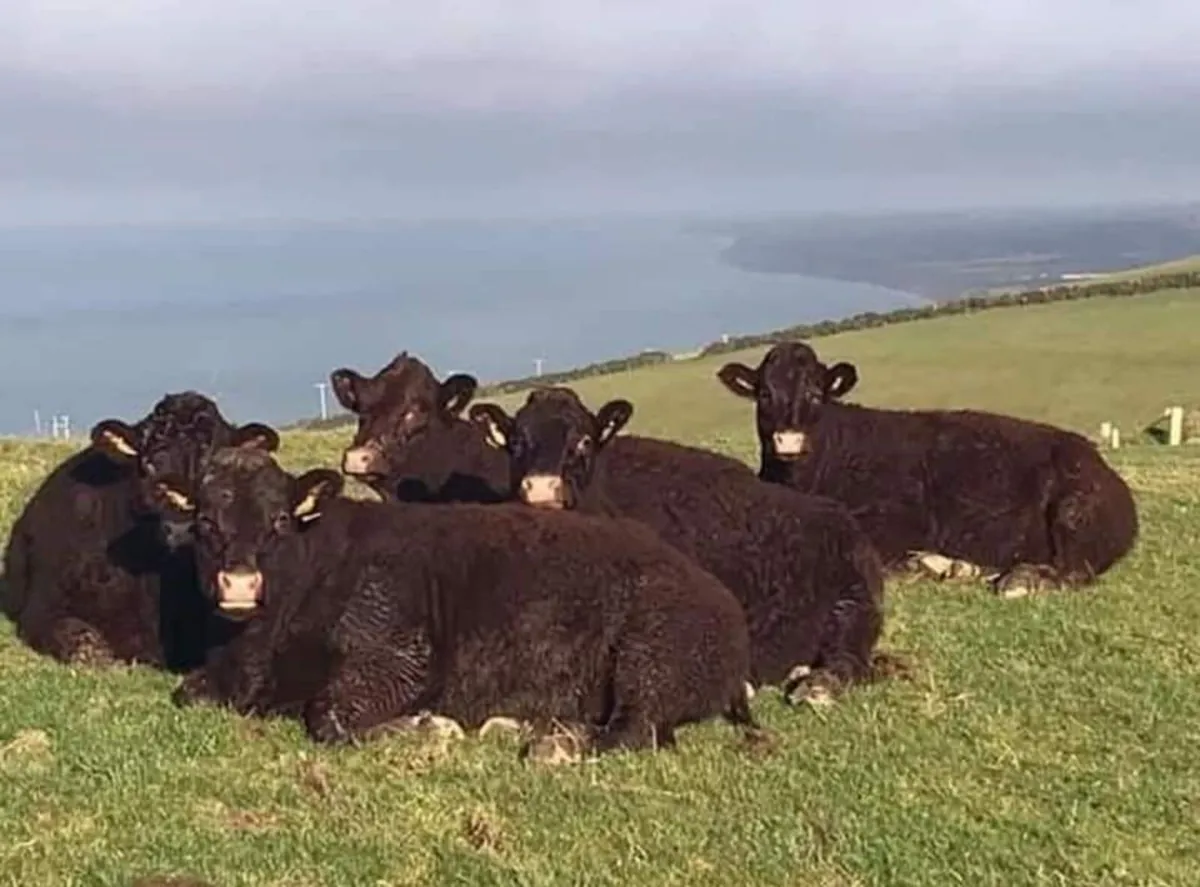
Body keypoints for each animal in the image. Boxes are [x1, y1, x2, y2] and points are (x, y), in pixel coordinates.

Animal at [163, 447, 762, 762]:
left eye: (280, 521)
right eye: (204, 523)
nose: (240, 583)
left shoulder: (400, 655)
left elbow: (327, 715)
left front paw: (424, 728)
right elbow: (188, 692)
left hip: (652, 654)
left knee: (634, 731)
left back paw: (553, 740)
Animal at [715, 340, 1140, 597]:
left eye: (816, 394)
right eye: (764, 394)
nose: (788, 440)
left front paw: (925, 564)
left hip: (1073, 512)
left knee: (1074, 571)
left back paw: (1015, 578)